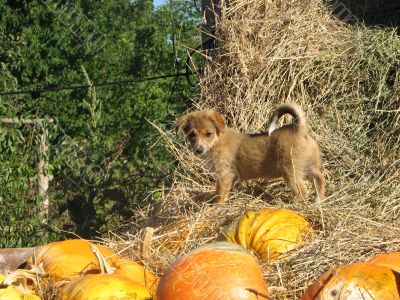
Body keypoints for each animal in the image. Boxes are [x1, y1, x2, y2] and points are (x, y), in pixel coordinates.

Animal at [177, 103, 326, 204]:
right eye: (192, 135)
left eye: (208, 134)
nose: (199, 150)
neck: (217, 140)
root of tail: (298, 128)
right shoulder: (230, 176)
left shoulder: (224, 174)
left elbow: (219, 193)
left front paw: (216, 206)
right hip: (307, 166)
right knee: (320, 178)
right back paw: (319, 200)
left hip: (290, 171)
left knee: (302, 191)